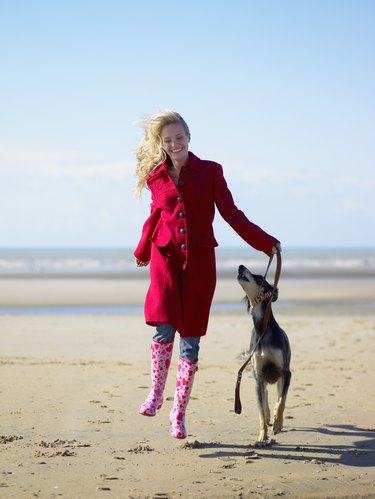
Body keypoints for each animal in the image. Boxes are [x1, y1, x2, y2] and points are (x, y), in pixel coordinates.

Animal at [238, 266, 290, 446]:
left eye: (260, 277)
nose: (240, 266)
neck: (262, 329)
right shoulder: (259, 377)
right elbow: (260, 411)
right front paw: (262, 436)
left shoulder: (286, 373)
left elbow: (281, 401)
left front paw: (277, 423)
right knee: (266, 396)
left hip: (280, 378)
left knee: (280, 396)